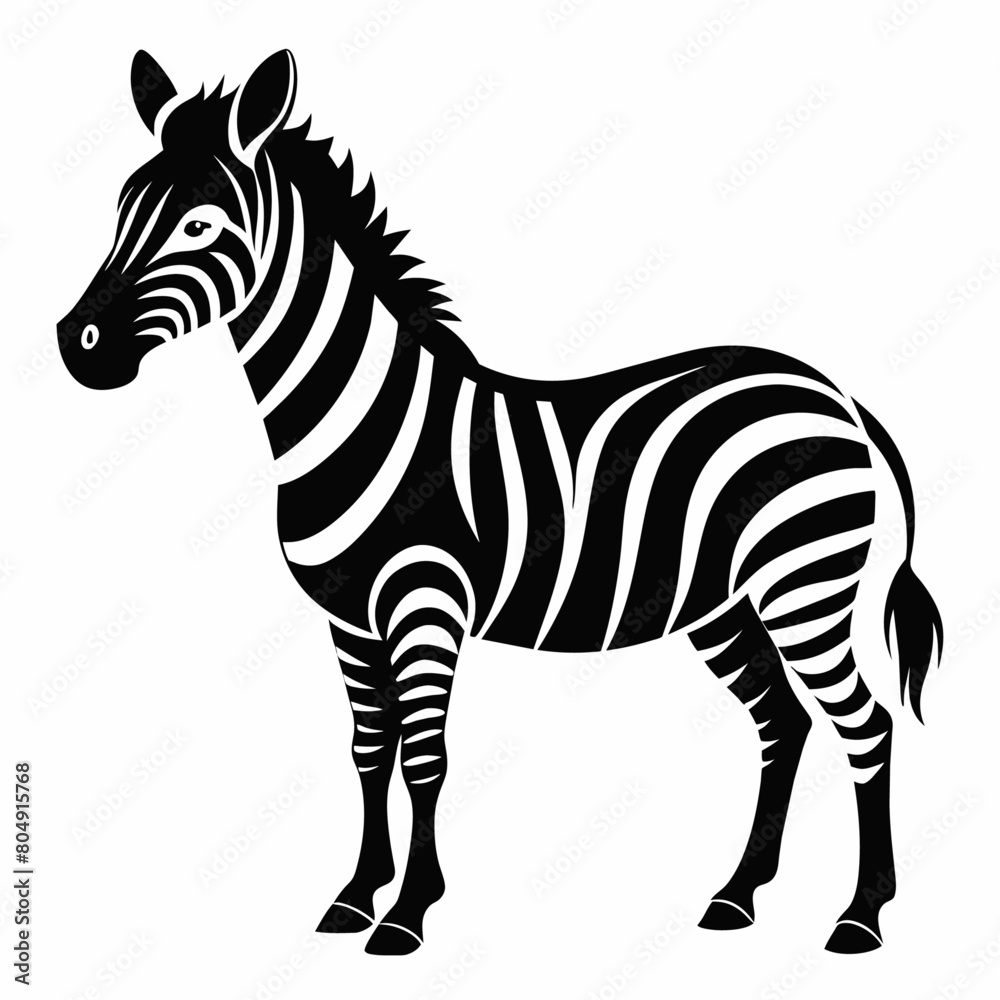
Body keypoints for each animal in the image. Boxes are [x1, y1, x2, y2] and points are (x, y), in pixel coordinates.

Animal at [58, 50, 943, 957]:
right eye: (121, 210)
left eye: (200, 227)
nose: (77, 346)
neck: (363, 415)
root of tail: (830, 391)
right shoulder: (348, 617)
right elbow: (368, 750)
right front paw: (354, 896)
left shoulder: (425, 602)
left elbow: (425, 756)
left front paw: (407, 913)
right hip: (723, 603)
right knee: (783, 722)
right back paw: (737, 896)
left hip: (806, 583)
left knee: (865, 725)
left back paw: (860, 916)